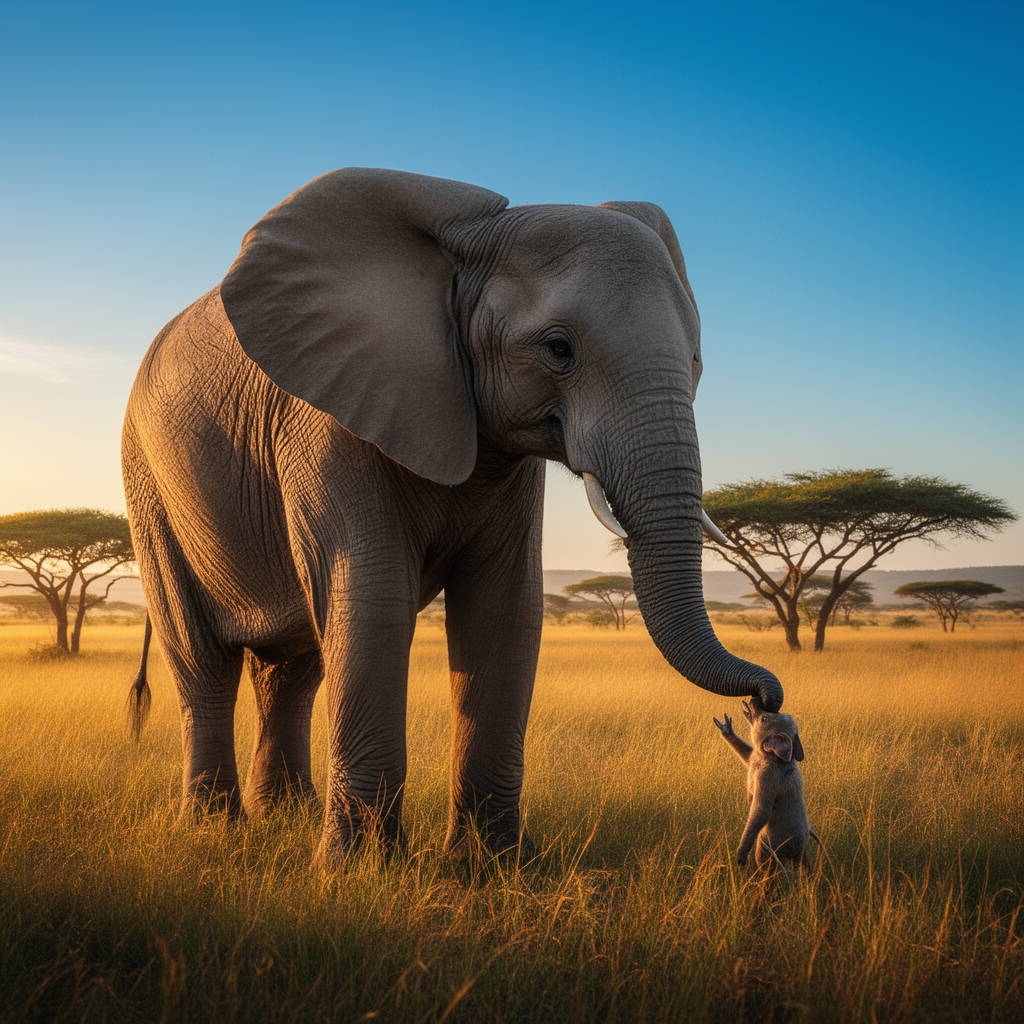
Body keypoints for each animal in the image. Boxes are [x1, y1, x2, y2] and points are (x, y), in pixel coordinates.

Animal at [122, 167, 783, 862]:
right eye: (558, 349)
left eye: (695, 361)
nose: (764, 697)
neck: (460, 254)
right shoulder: (328, 421)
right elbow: (373, 599)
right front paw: (358, 871)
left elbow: (503, 607)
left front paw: (491, 866)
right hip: (149, 484)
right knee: (203, 662)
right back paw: (214, 830)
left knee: (294, 666)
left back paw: (285, 814)